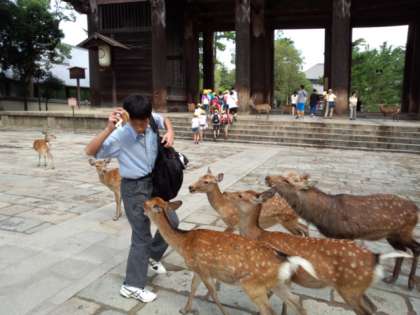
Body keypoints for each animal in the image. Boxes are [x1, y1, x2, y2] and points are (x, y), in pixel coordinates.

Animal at [143, 198, 316, 315]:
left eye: (149, 204)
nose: (141, 205)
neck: (183, 243)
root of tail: (286, 262)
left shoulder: (203, 270)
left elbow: (213, 294)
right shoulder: (198, 269)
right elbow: (193, 288)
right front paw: (185, 310)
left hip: (253, 285)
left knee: (270, 311)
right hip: (278, 284)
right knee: (298, 304)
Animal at [230, 190, 410, 315]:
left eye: (240, 195)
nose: (227, 194)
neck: (258, 234)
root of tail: (376, 257)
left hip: (350, 289)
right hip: (357, 287)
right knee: (373, 307)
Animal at [266, 173, 420, 292]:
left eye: (287, 180)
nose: (267, 177)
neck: (323, 215)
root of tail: (416, 209)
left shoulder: (346, 234)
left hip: (404, 231)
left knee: (415, 247)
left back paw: (410, 283)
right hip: (392, 235)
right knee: (402, 250)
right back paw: (392, 278)